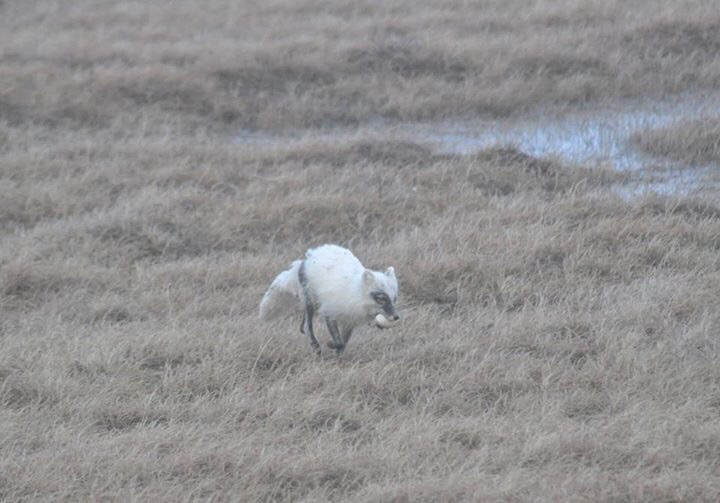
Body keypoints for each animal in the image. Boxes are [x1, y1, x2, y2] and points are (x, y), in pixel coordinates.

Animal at [259, 244, 399, 354]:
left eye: (394, 299)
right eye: (381, 299)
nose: (396, 317)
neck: (354, 295)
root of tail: (306, 258)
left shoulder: (350, 320)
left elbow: (343, 342)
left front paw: (338, 357)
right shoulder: (329, 312)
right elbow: (338, 341)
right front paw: (331, 345)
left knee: (303, 325)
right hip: (310, 301)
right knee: (307, 326)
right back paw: (315, 345)